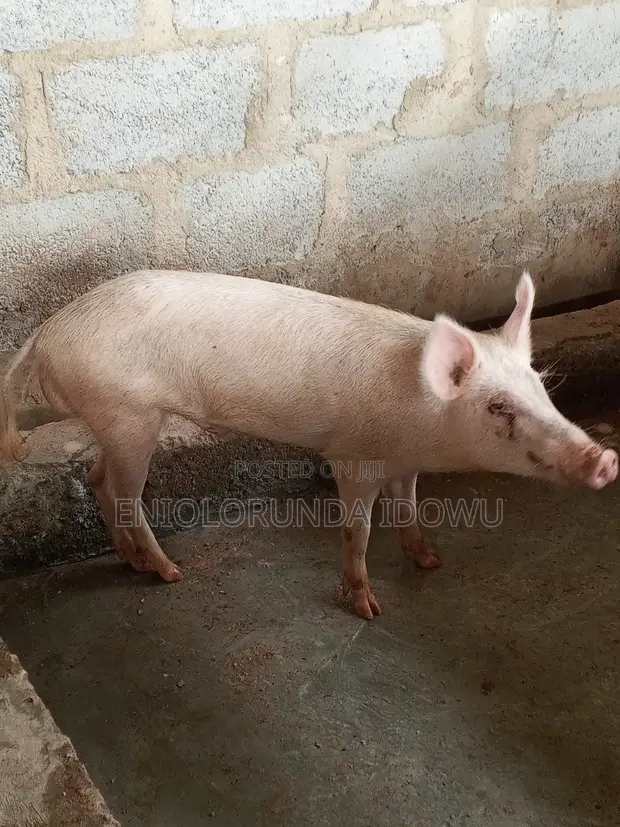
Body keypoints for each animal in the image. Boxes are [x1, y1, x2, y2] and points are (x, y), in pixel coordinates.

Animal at [0, 269, 617, 619]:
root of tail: (45, 334)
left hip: (116, 419)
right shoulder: (354, 457)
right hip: (129, 413)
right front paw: (368, 609)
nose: (605, 458)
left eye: (540, 387)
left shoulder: (405, 461)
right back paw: (169, 572)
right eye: (498, 407)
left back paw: (132, 560)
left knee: (98, 479)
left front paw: (430, 560)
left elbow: (410, 507)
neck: (420, 422)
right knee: (126, 494)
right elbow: (357, 529)